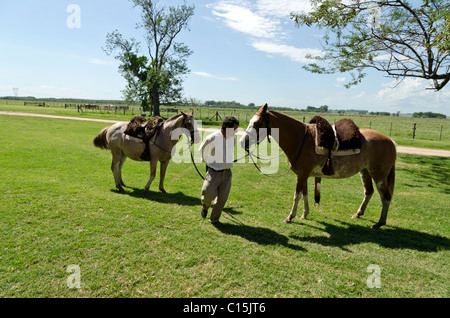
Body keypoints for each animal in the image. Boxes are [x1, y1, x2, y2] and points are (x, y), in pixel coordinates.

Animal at [241, 104, 396, 229]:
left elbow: (297, 195)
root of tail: (390, 141)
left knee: (386, 196)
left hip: (379, 175)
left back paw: (380, 223)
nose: (243, 142)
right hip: (365, 172)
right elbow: (305, 194)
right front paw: (305, 214)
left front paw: (290, 217)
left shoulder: (302, 174)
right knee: (368, 192)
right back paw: (358, 214)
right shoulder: (303, 175)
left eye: (257, 123)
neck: (301, 139)